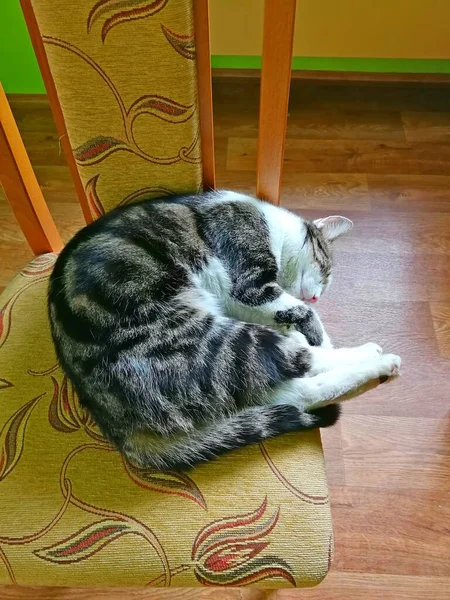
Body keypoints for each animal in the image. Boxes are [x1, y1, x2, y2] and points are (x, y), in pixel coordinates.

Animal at [49, 191, 400, 468]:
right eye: (325, 270)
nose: (315, 296)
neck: (271, 225)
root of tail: (113, 422)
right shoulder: (250, 282)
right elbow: (304, 317)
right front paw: (316, 331)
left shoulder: (244, 301)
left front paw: (301, 326)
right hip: (217, 338)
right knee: (303, 366)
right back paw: (376, 359)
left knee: (295, 392)